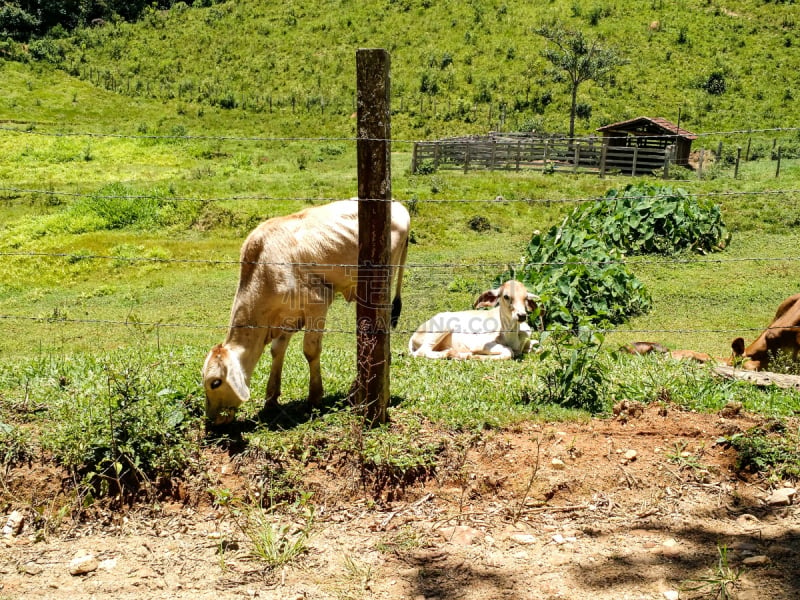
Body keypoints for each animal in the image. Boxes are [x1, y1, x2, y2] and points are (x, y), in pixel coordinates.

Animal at [410, 280, 540, 358]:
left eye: (526, 297)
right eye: (506, 296)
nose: (522, 315)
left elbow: (537, 346)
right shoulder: (478, 343)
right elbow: (508, 352)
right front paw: (474, 356)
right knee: (421, 352)